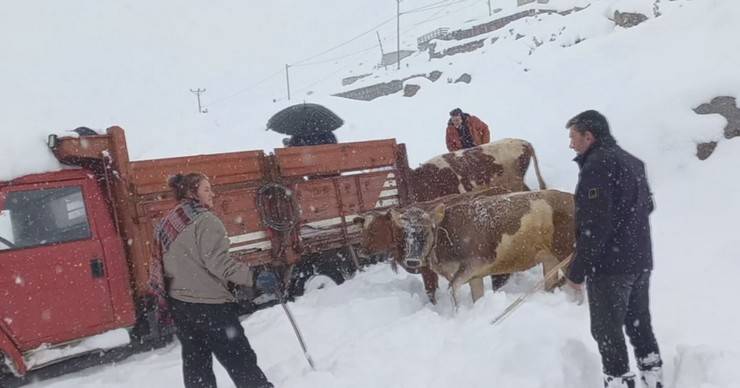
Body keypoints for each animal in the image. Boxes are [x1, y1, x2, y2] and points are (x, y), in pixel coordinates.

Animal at [390, 191, 576, 306]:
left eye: (427, 230)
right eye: (406, 233)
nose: (412, 260)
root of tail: (571, 197)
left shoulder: (475, 263)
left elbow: (452, 290)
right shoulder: (475, 276)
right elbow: (476, 297)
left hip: (566, 253)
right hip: (550, 260)